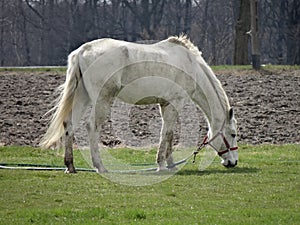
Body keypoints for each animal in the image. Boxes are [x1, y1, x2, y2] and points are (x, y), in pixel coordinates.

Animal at [39, 35, 238, 173]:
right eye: (233, 134)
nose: (233, 162)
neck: (191, 66)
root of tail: (82, 51)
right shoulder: (174, 104)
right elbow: (167, 134)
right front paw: (162, 165)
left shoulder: (166, 105)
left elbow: (169, 135)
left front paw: (171, 164)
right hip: (102, 99)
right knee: (91, 127)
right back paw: (100, 166)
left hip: (82, 96)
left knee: (69, 125)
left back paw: (70, 166)